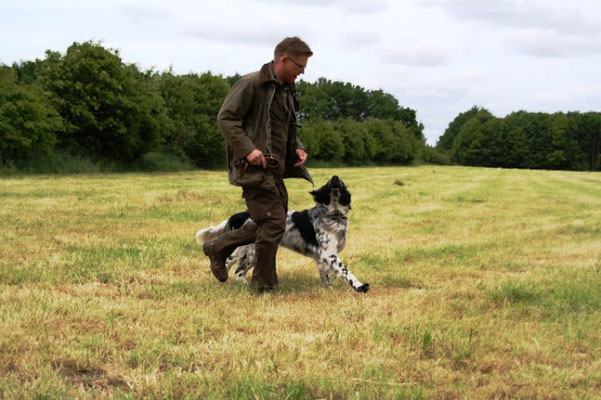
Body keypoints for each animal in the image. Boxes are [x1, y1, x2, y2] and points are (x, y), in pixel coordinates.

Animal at [195, 177, 368, 292]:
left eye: (341, 182)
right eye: (327, 183)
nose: (335, 177)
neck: (333, 214)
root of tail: (241, 215)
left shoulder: (322, 257)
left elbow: (325, 276)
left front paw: (329, 289)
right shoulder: (329, 253)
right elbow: (345, 271)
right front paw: (360, 286)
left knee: (237, 270)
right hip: (251, 250)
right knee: (233, 266)